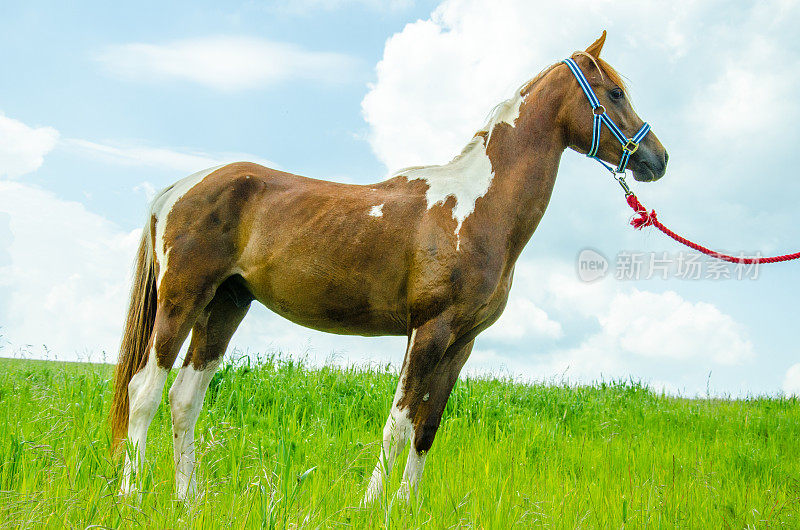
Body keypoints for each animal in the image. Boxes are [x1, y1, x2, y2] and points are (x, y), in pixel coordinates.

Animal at [108, 31, 668, 502]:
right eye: (614, 93)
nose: (658, 159)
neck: (478, 207)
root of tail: (178, 189)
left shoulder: (462, 342)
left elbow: (426, 428)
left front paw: (407, 506)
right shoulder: (430, 329)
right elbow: (397, 424)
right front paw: (372, 505)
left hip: (226, 305)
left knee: (184, 398)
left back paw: (188, 499)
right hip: (182, 300)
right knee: (145, 391)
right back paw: (132, 496)